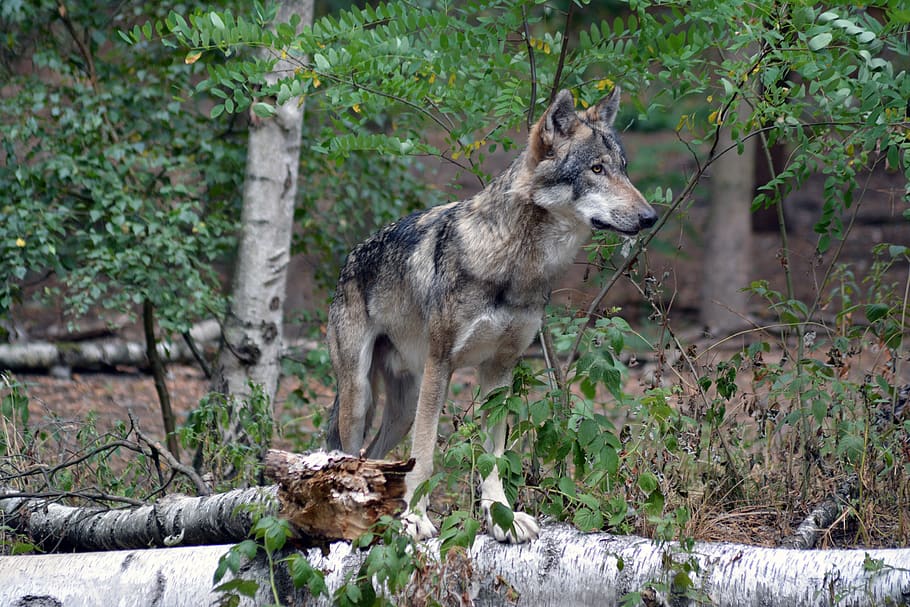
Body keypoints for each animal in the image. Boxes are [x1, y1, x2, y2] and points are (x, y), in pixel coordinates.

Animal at [325, 87, 657, 543]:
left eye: (623, 168)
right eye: (596, 169)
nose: (650, 217)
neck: (517, 264)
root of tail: (350, 258)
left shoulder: (501, 369)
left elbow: (493, 456)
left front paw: (502, 516)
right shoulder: (441, 364)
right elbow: (425, 456)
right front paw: (415, 519)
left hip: (404, 408)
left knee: (376, 459)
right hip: (361, 398)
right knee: (350, 456)